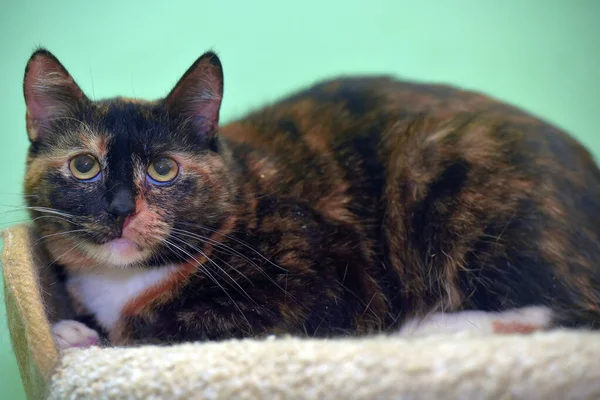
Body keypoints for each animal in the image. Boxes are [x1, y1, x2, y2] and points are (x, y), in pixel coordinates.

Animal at [19, 47, 600, 350]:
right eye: (84, 165)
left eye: (163, 169)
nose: (120, 209)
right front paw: (75, 325)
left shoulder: (323, 286)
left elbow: (153, 327)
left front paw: (76, 333)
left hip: (444, 173)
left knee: (567, 308)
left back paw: (434, 327)